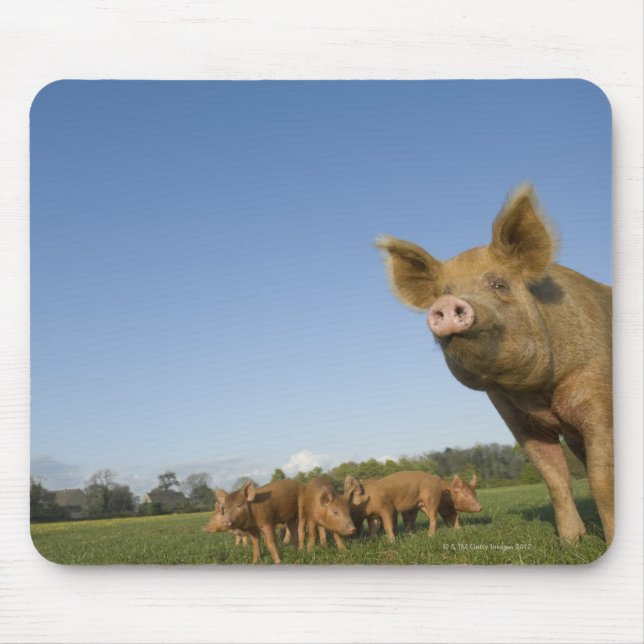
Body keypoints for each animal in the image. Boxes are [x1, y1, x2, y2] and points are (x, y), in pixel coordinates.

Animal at [376, 185, 613, 544]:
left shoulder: (599, 395)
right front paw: (570, 543)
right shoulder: (517, 418)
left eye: (499, 284)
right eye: (444, 292)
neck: (541, 395)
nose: (448, 302)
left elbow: (601, 480)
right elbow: (555, 480)